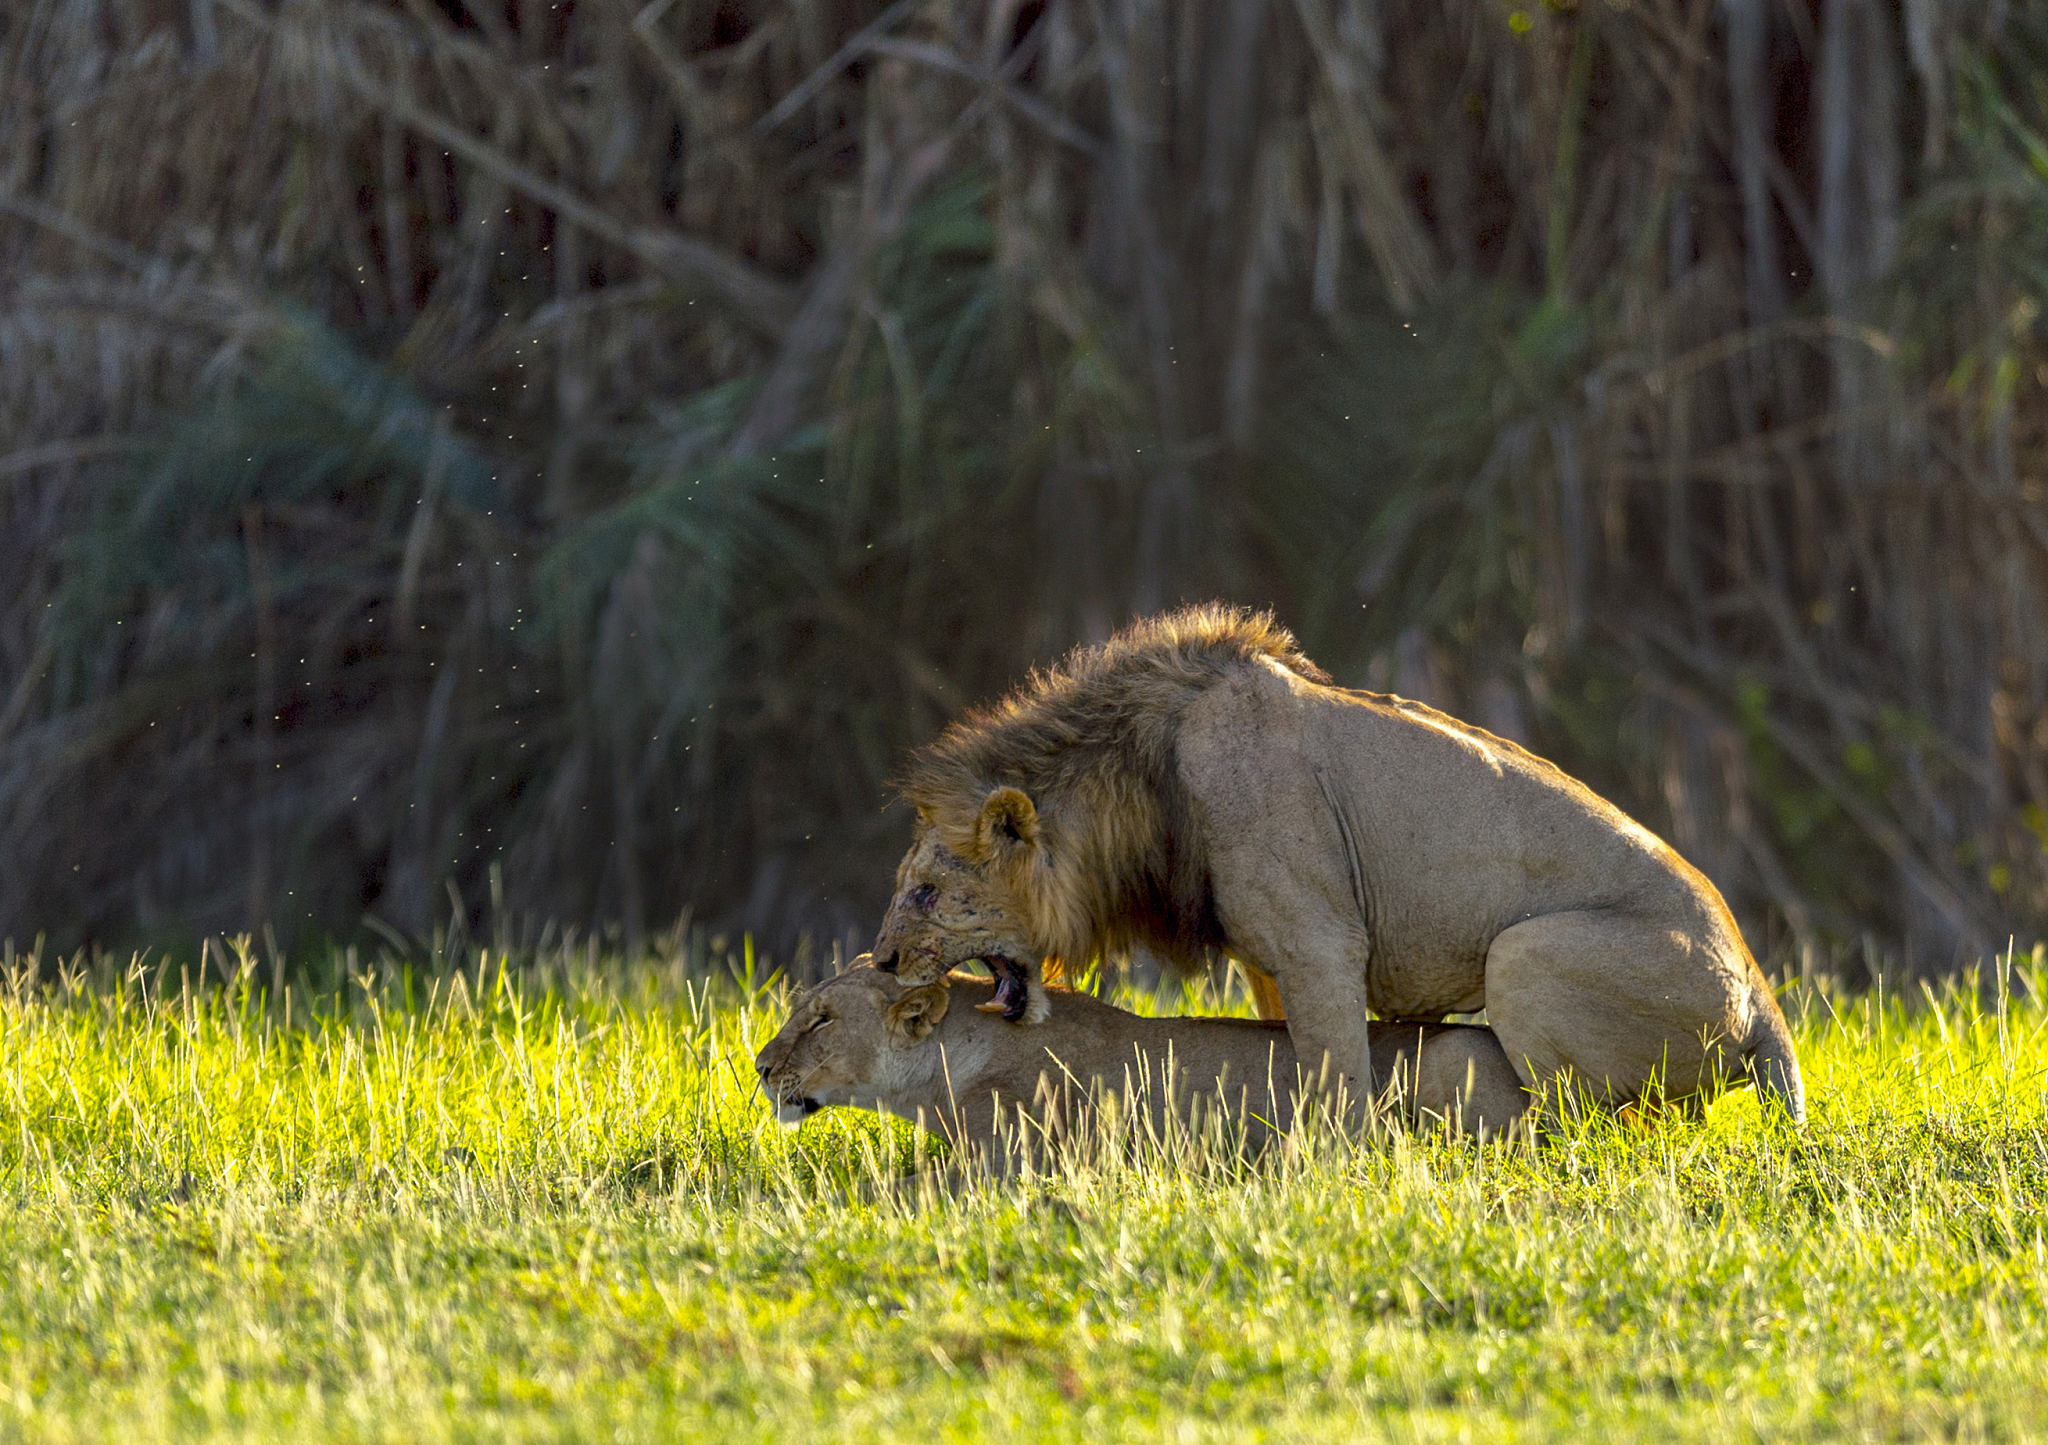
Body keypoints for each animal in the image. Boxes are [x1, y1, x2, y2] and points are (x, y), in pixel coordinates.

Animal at [869, 605, 1805, 1123]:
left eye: (926, 892)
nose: (880, 961)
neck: (1131, 786)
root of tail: (1765, 1002)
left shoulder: (1320, 942)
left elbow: (1340, 1080)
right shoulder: (1270, 960)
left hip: (1524, 954)